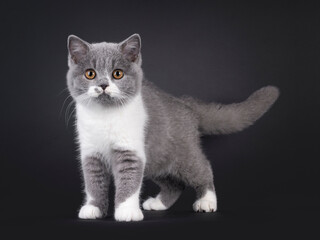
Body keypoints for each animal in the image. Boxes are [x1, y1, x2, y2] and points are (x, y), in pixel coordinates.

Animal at [66, 33, 278, 221]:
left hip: (183, 153)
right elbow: (93, 182)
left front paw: (127, 211)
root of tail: (185, 103)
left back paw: (207, 201)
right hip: (158, 157)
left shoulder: (131, 150)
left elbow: (129, 180)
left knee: (203, 168)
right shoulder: (91, 153)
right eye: (90, 74)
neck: (105, 116)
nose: (103, 85)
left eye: (117, 74)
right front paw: (93, 208)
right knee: (175, 184)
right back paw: (158, 203)